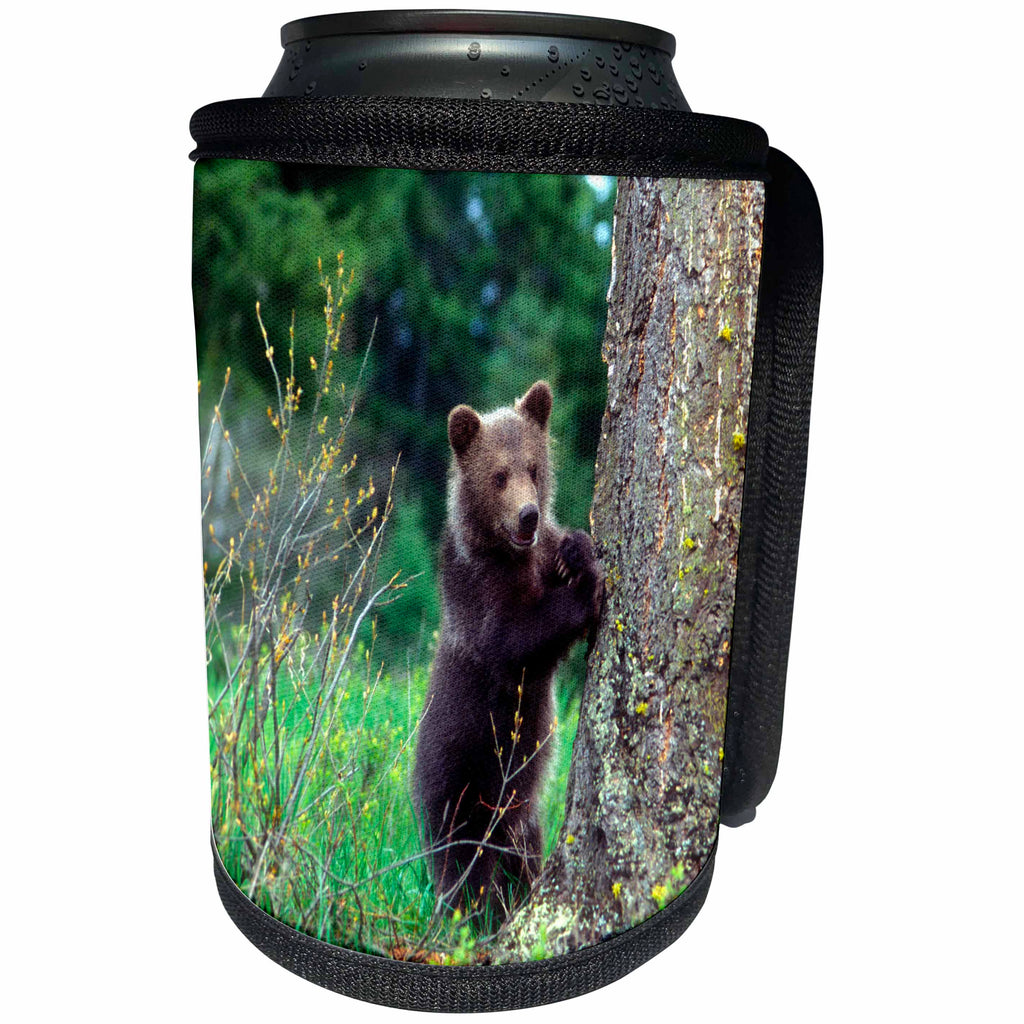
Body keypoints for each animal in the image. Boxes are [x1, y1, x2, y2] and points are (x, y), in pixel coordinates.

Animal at [413, 380, 602, 918]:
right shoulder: (478, 596)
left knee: (522, 855)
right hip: (460, 788)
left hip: (521, 818)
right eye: (498, 475)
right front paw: (586, 590)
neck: (510, 554)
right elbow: (515, 640)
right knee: (467, 874)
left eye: (533, 468)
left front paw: (577, 551)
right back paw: (476, 916)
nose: (528, 515)